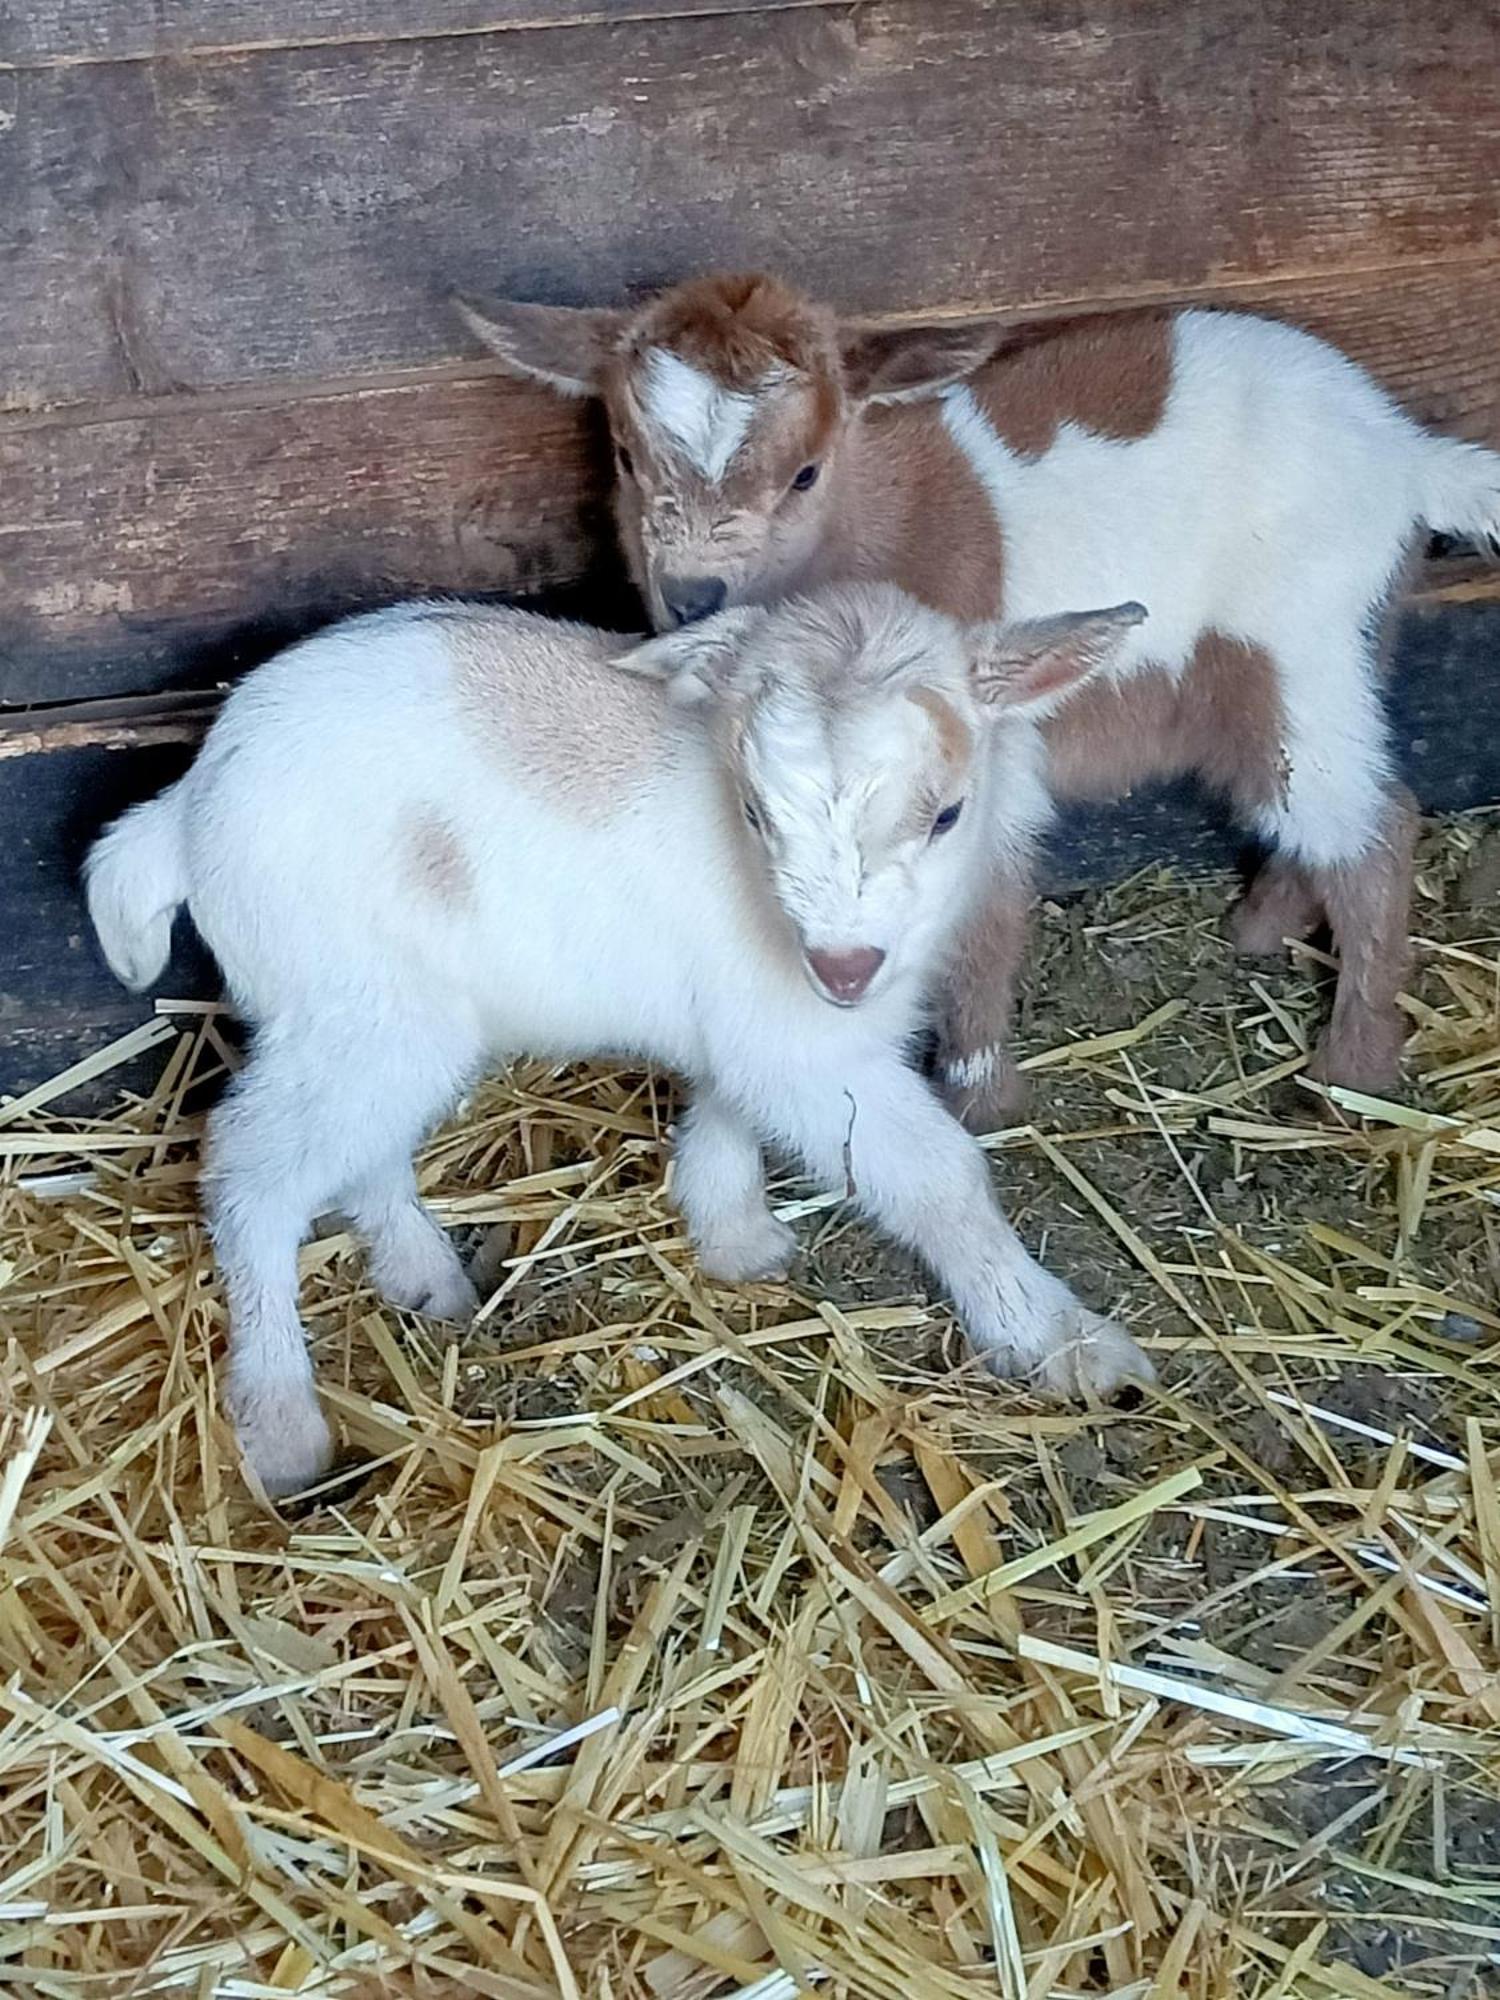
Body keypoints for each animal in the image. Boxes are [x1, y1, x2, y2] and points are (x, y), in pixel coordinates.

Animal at [88, 580, 1160, 1488]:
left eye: (947, 815)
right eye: (755, 813)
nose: (845, 968)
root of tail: (184, 807)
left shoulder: (758, 1017)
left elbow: (730, 1103)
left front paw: (730, 1232)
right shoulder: (805, 1039)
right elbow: (941, 1178)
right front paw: (1064, 1343)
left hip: (374, 1022)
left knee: (357, 1149)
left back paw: (424, 1277)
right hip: (355, 1007)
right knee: (252, 1171)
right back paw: (281, 1426)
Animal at [458, 276, 1500, 1136]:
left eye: (804, 473)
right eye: (628, 458)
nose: (693, 595)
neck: (878, 526)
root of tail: (1406, 454)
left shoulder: (980, 742)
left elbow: (986, 902)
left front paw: (978, 1093)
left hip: (1301, 641)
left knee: (1371, 823)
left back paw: (1352, 1073)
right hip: (1333, 644)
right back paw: (1261, 929)